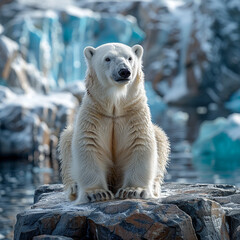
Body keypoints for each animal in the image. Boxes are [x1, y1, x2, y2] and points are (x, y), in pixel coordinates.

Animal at [59, 42, 170, 202]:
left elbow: (141, 143)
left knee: (160, 138)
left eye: (129, 58)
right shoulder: (95, 115)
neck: (114, 107)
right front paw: (97, 193)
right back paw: (74, 187)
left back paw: (154, 186)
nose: (124, 71)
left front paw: (133, 190)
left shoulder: (133, 114)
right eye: (107, 58)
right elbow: (88, 145)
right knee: (67, 140)